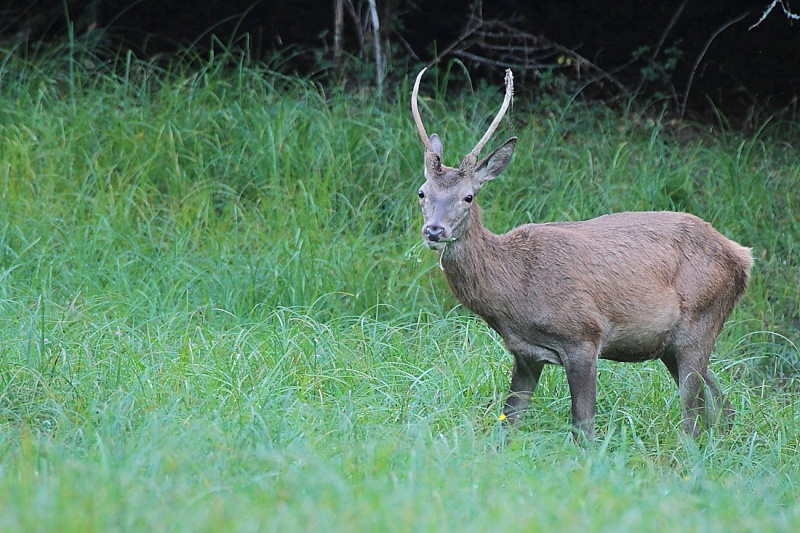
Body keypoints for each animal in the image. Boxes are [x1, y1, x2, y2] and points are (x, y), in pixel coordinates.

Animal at [410, 67, 752, 440]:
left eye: (468, 196)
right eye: (422, 192)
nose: (435, 231)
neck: (514, 290)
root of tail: (742, 256)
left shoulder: (584, 336)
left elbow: (583, 426)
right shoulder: (525, 353)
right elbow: (509, 421)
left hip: (700, 320)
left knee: (693, 416)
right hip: (671, 344)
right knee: (722, 407)